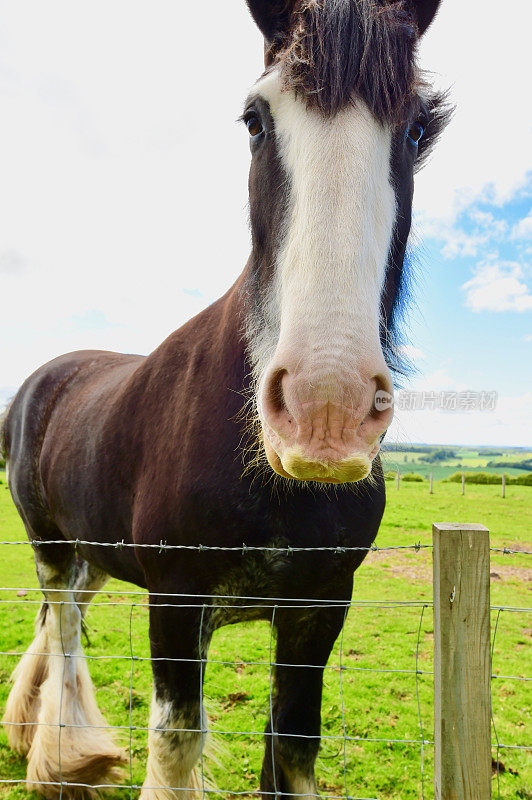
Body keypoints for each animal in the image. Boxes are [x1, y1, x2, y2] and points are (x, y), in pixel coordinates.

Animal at [1, 3, 448, 796]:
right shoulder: (176, 600)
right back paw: (63, 757)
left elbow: (292, 748)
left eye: (418, 127)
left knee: (64, 619)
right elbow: (176, 740)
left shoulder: (318, 609)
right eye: (254, 120)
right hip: (51, 546)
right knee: (62, 625)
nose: (324, 410)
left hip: (92, 550)